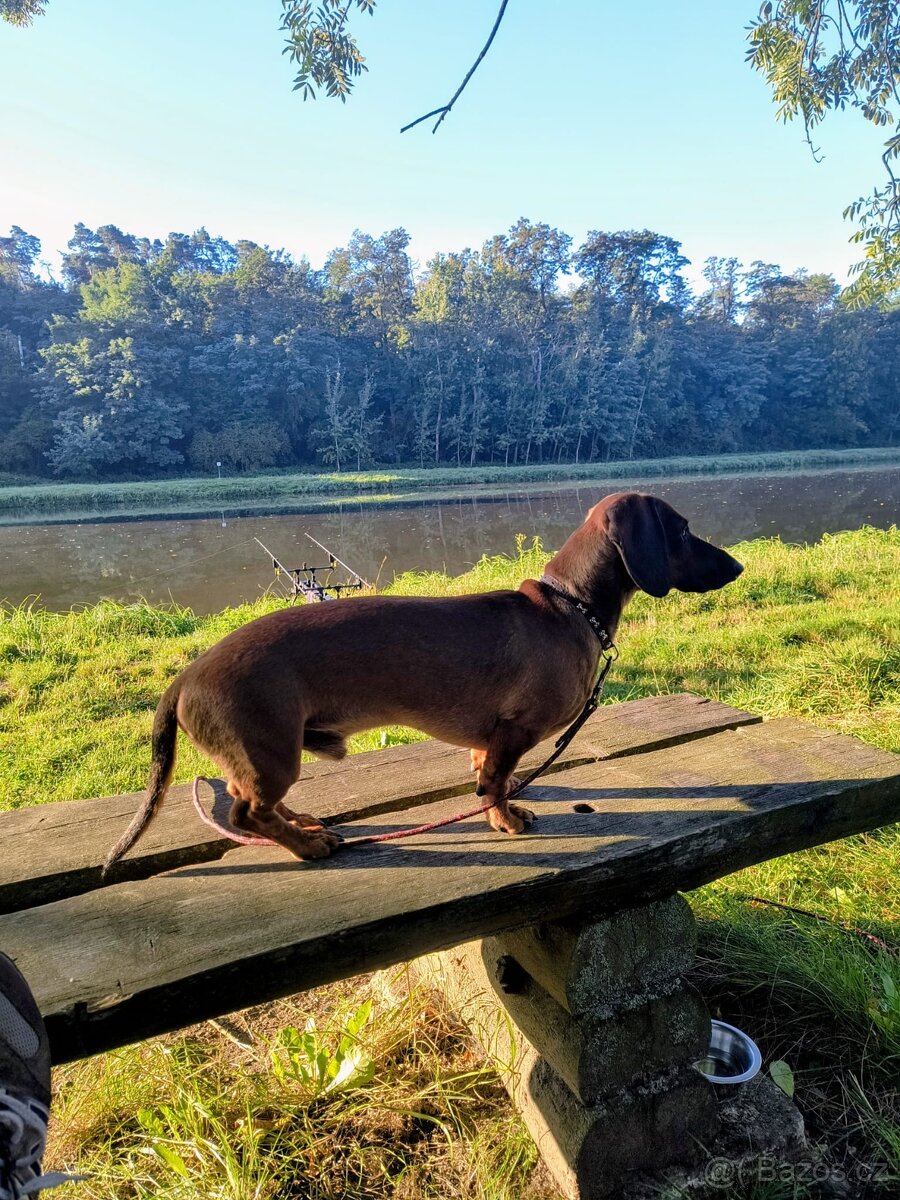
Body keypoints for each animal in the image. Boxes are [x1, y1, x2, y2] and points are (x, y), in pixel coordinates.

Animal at [103, 492, 743, 871]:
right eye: (682, 530)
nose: (738, 565)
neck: (569, 607)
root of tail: (184, 678)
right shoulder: (516, 732)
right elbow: (496, 785)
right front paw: (505, 820)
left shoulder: (492, 738)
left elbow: (484, 773)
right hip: (274, 754)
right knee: (245, 815)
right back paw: (307, 845)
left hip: (264, 756)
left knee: (253, 804)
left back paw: (301, 825)